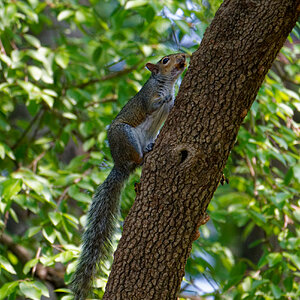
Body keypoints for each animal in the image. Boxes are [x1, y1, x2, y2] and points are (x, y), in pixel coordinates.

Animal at [71, 52, 186, 298]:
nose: (183, 56)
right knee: (137, 159)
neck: (166, 83)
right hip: (127, 137)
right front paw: (166, 98)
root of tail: (120, 164)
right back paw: (144, 155)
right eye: (165, 60)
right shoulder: (147, 98)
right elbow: (152, 105)